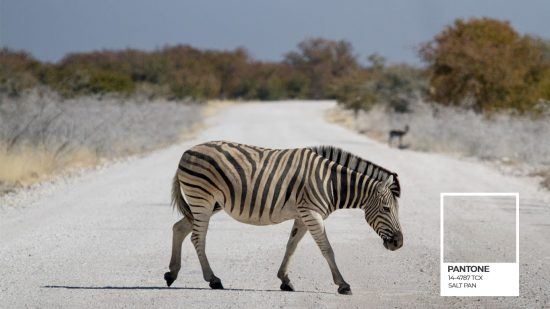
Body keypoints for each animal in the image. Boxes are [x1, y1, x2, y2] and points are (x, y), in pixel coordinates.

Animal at [165, 140, 406, 294]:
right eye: (386, 209)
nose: (399, 243)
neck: (332, 183)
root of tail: (187, 151)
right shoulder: (312, 213)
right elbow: (327, 249)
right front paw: (343, 284)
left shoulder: (303, 215)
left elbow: (291, 246)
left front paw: (285, 280)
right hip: (202, 198)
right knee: (197, 237)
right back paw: (213, 280)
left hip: (210, 203)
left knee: (179, 228)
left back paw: (172, 273)